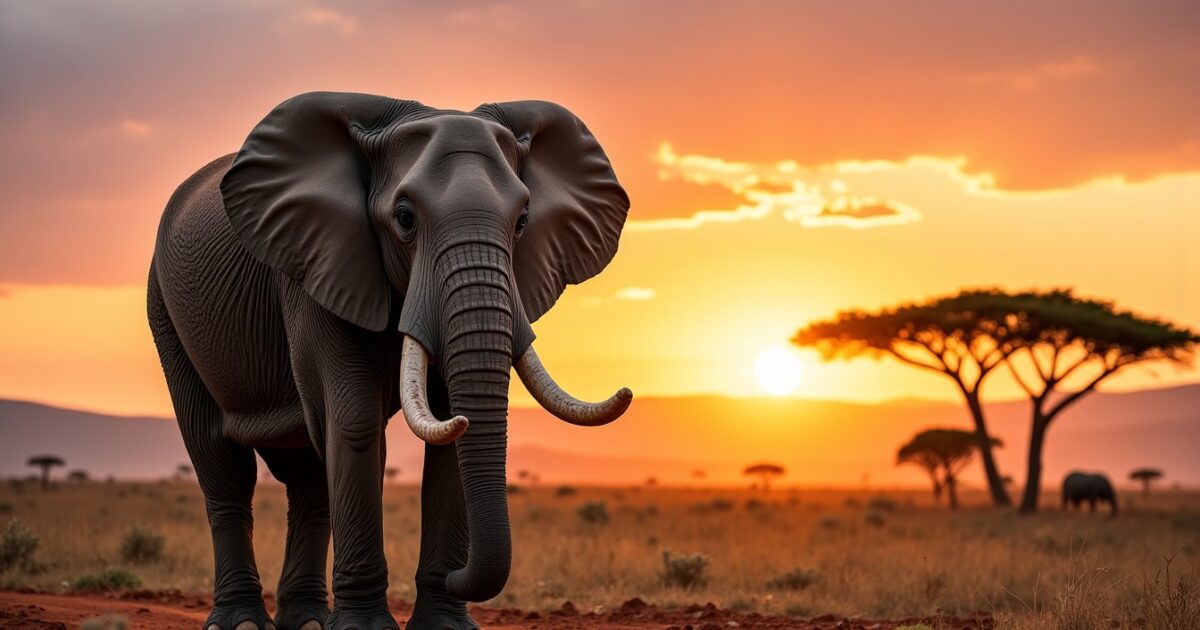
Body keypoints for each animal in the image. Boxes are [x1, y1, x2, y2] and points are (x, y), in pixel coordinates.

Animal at [147, 92, 632, 630]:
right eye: (404, 218)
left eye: (523, 221)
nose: (458, 576)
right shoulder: (315, 265)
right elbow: (354, 420)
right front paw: (363, 629)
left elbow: (442, 434)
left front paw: (444, 627)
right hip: (165, 308)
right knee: (221, 461)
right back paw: (244, 622)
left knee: (308, 475)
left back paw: (309, 622)